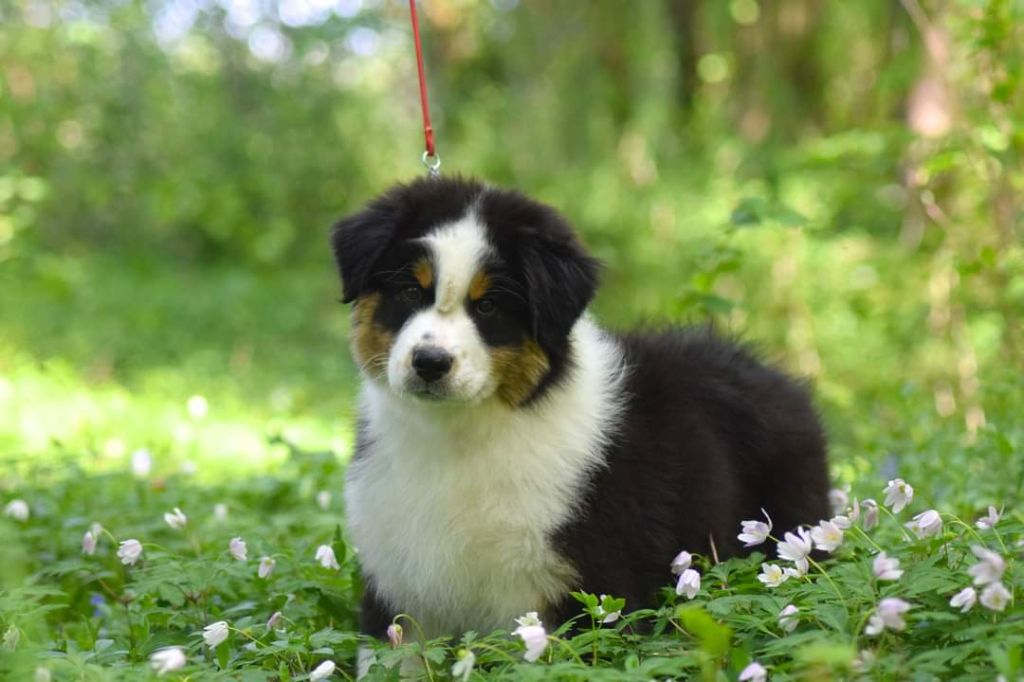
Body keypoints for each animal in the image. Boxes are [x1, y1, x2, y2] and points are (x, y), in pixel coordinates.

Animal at [330, 177, 829, 666]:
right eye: (411, 292)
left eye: (488, 307)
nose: (430, 363)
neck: (455, 432)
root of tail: (769, 371)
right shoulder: (399, 582)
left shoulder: (583, 584)